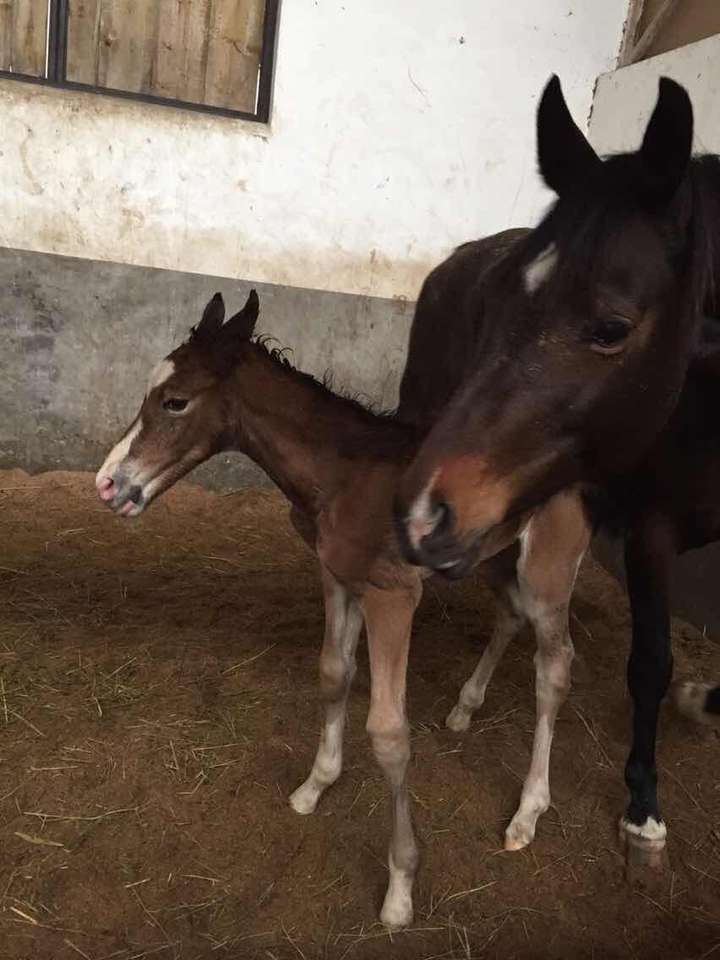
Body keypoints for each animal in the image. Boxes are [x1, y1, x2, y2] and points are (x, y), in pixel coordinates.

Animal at [95, 288, 592, 928]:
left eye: (175, 401)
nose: (107, 484)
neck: (342, 476)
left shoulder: (393, 595)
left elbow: (388, 732)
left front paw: (401, 887)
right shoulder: (336, 576)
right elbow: (334, 674)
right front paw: (315, 786)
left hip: (548, 569)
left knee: (553, 668)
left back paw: (528, 811)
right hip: (492, 556)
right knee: (509, 615)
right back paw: (465, 708)